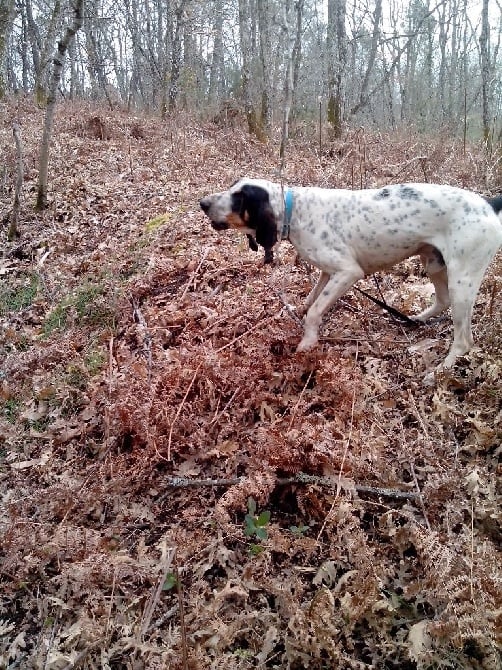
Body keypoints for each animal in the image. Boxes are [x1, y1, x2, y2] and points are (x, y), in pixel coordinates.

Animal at [200, 178, 502, 372]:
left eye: (239, 197)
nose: (202, 202)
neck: (295, 210)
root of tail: (488, 204)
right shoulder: (327, 272)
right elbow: (310, 301)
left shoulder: (347, 272)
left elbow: (315, 311)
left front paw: (308, 342)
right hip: (434, 263)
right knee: (442, 301)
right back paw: (416, 320)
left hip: (463, 280)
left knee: (464, 341)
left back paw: (439, 372)